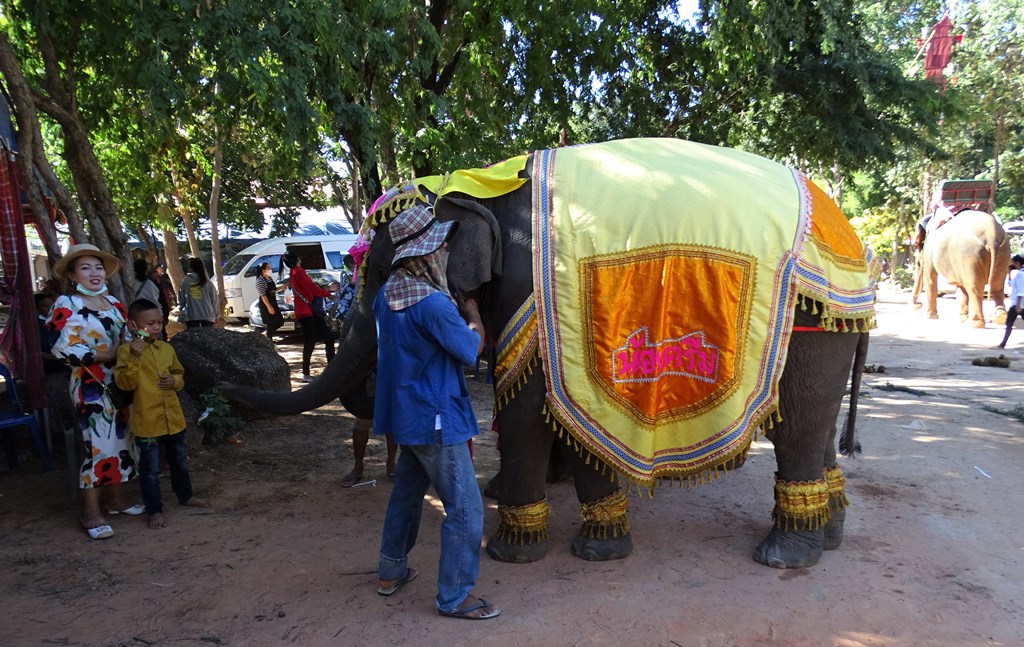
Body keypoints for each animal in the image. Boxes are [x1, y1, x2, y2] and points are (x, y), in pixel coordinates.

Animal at [222, 139, 872, 569]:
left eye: (381, 272)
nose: (224, 390)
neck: (477, 185)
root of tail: (851, 241)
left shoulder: (531, 289)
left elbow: (526, 407)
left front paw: (518, 552)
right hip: (825, 328)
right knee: (816, 423)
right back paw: (831, 531)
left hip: (807, 323)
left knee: (798, 424)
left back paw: (784, 556)